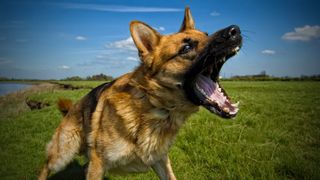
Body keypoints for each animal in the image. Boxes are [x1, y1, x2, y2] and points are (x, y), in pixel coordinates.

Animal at [38, 7, 241, 180]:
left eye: (206, 34)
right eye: (186, 48)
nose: (235, 30)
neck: (153, 105)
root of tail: (73, 108)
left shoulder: (160, 161)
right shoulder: (98, 163)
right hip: (63, 154)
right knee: (45, 166)